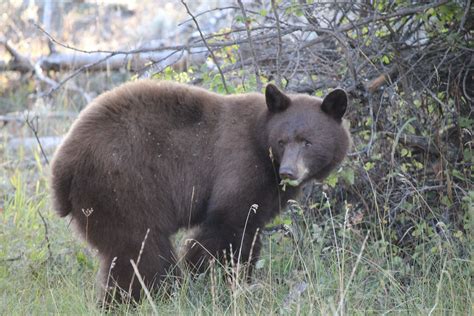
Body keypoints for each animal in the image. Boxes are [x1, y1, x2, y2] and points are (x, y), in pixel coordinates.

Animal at [50, 80, 350, 302]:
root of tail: (61, 167)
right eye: (282, 141)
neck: (260, 139)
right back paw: (149, 296)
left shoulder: (267, 191)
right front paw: (215, 277)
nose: (288, 172)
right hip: (122, 188)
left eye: (307, 142)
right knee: (141, 250)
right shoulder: (240, 165)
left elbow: (251, 229)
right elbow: (226, 226)